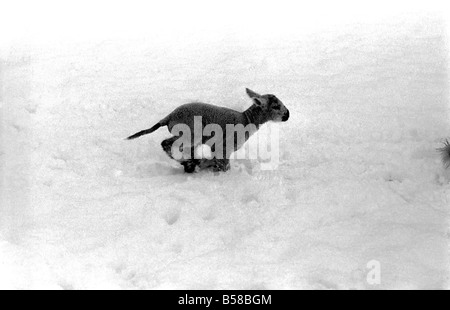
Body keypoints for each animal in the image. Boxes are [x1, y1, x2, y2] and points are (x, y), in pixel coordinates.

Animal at [125, 88, 290, 173]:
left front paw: (204, 164)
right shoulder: (224, 147)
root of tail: (168, 117)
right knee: (167, 144)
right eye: (275, 106)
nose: (288, 114)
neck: (247, 120)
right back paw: (189, 164)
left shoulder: (216, 147)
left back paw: (190, 164)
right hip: (191, 132)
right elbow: (224, 166)